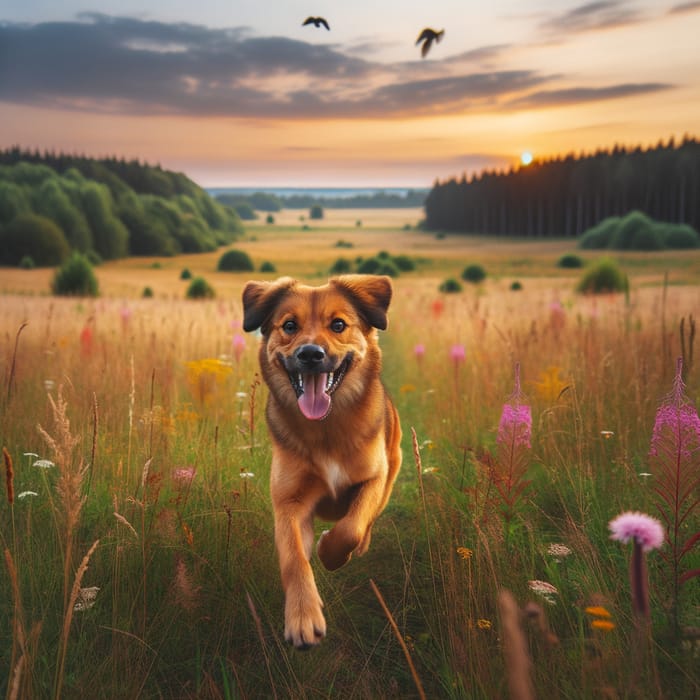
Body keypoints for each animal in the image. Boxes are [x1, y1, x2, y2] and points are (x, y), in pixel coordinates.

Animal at [243, 276, 402, 648]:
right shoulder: (289, 503)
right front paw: (303, 617)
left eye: (339, 325)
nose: (311, 354)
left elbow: (352, 526)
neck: (326, 428)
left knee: (367, 521)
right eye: (289, 326)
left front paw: (331, 550)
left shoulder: (373, 479)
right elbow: (294, 559)